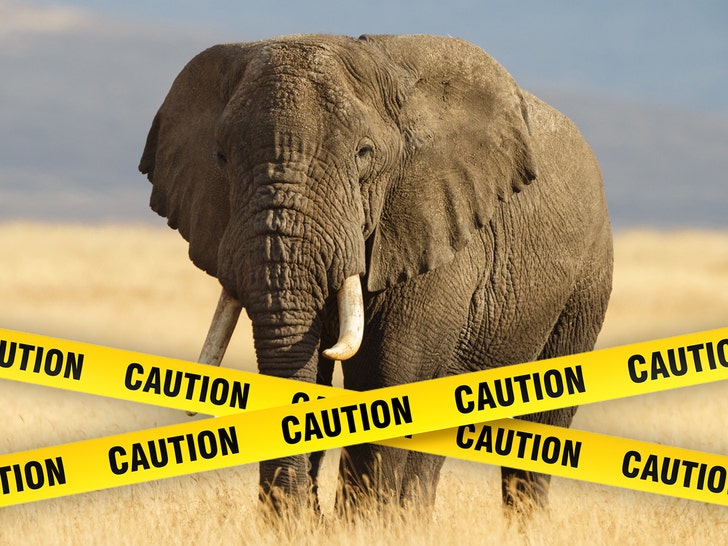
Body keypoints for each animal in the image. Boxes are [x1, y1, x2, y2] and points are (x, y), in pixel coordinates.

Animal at [139, 34, 613, 514]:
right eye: (220, 157)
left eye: (363, 154)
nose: (307, 515)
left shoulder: (436, 228)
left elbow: (388, 375)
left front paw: (363, 524)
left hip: (586, 284)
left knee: (542, 423)